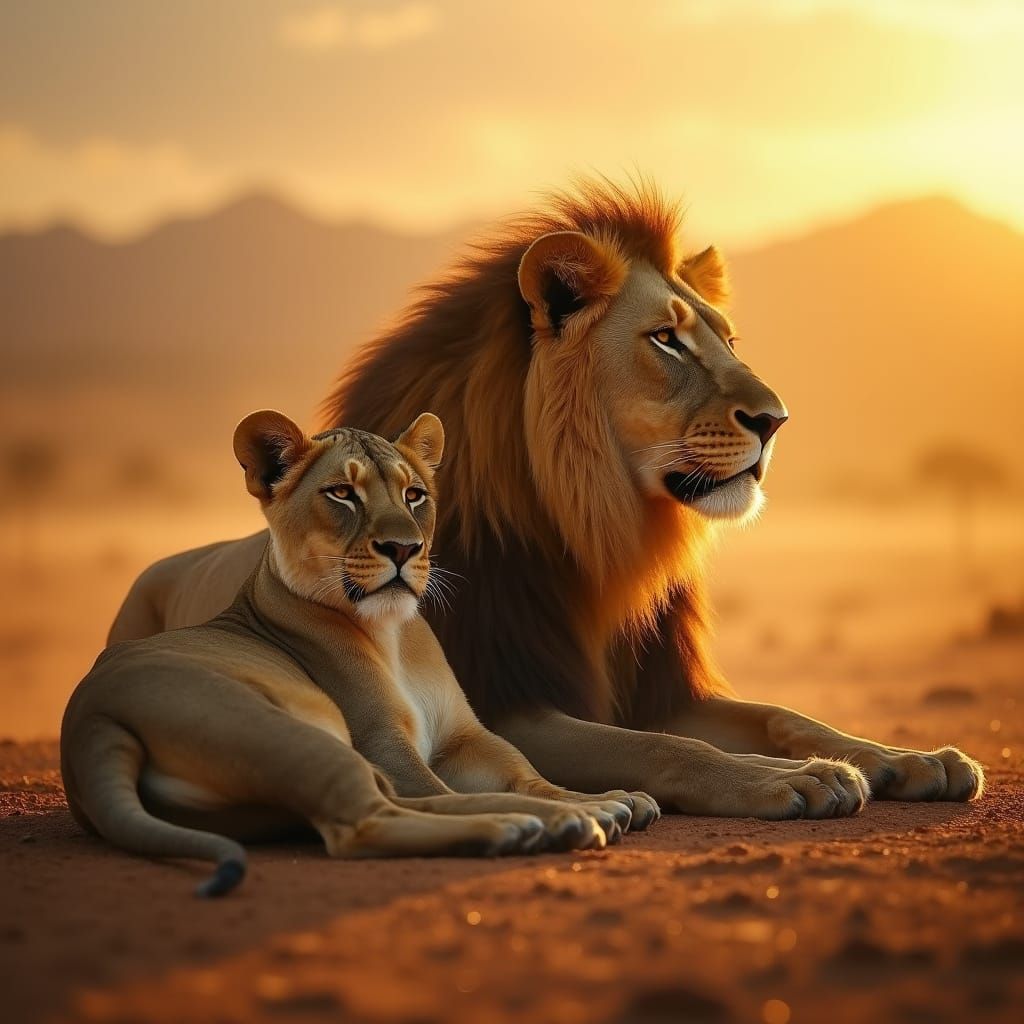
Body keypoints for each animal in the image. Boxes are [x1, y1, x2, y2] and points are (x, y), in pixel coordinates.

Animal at [65, 410, 664, 896]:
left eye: (414, 495)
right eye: (341, 494)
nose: (403, 548)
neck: (394, 634)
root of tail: (89, 718)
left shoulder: (462, 738)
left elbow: (526, 773)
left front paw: (596, 795)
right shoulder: (384, 739)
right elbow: (446, 787)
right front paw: (585, 805)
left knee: (394, 805)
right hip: (283, 732)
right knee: (367, 822)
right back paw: (527, 827)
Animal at [109, 178, 984, 817]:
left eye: (728, 340)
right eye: (667, 339)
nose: (776, 420)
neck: (601, 533)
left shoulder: (655, 688)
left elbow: (783, 716)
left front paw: (907, 758)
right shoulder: (506, 702)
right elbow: (667, 749)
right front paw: (792, 779)